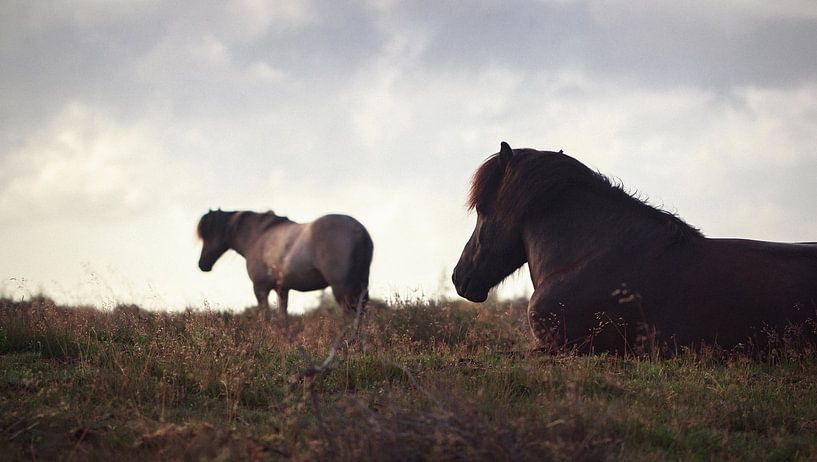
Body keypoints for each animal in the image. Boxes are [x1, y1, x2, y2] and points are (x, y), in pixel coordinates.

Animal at [197, 209, 373, 324]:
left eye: (209, 234)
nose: (202, 264)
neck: (257, 236)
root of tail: (360, 232)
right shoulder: (282, 289)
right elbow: (283, 317)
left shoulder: (260, 288)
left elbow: (264, 316)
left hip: (342, 288)